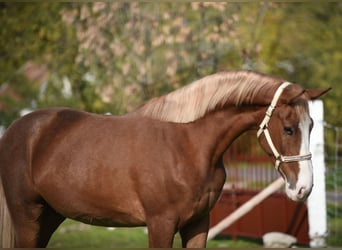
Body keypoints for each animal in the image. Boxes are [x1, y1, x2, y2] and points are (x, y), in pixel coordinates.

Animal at [0, 71, 328, 248]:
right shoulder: (160, 224)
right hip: (27, 217)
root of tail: (15, 130)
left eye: (312, 125)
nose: (304, 188)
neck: (188, 146)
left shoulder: (198, 223)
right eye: (289, 128)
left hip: (49, 216)